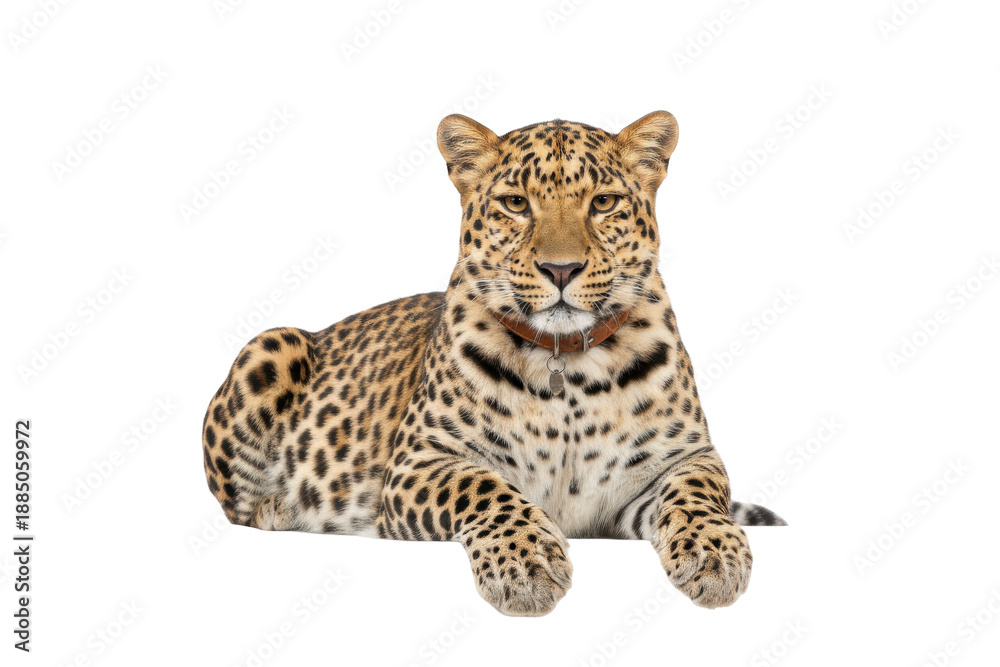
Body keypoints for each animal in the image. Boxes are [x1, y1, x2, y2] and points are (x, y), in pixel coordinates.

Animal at [201, 111, 786, 617]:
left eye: (603, 202)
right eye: (515, 203)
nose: (560, 268)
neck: (567, 366)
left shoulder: (680, 457)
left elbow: (698, 494)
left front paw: (715, 554)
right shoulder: (420, 460)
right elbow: (485, 488)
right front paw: (527, 568)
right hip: (270, 345)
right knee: (238, 508)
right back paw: (287, 510)